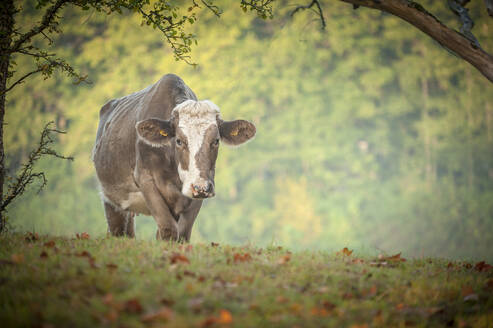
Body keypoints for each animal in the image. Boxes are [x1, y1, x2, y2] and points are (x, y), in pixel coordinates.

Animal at [91, 73, 258, 241]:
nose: (200, 187)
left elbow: (182, 232)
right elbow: (168, 230)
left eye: (216, 141)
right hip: (111, 199)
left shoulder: (198, 190)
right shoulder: (146, 180)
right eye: (178, 140)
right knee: (118, 230)